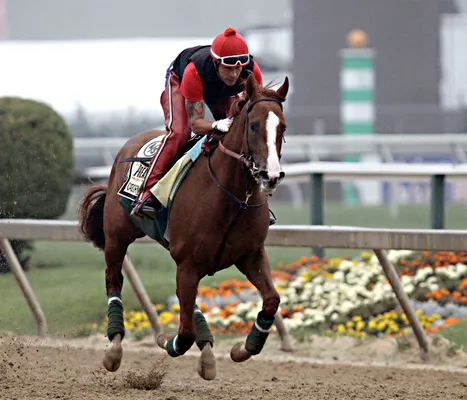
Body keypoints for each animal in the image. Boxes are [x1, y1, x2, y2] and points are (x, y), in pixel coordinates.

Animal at [80, 75, 290, 382]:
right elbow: (185, 333)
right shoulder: (188, 263)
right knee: (113, 280)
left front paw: (242, 348)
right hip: (117, 237)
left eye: (282, 127)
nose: (270, 176)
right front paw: (165, 341)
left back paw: (207, 354)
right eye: (253, 125)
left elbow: (272, 300)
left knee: (188, 302)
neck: (232, 197)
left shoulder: (249, 255)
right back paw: (114, 348)